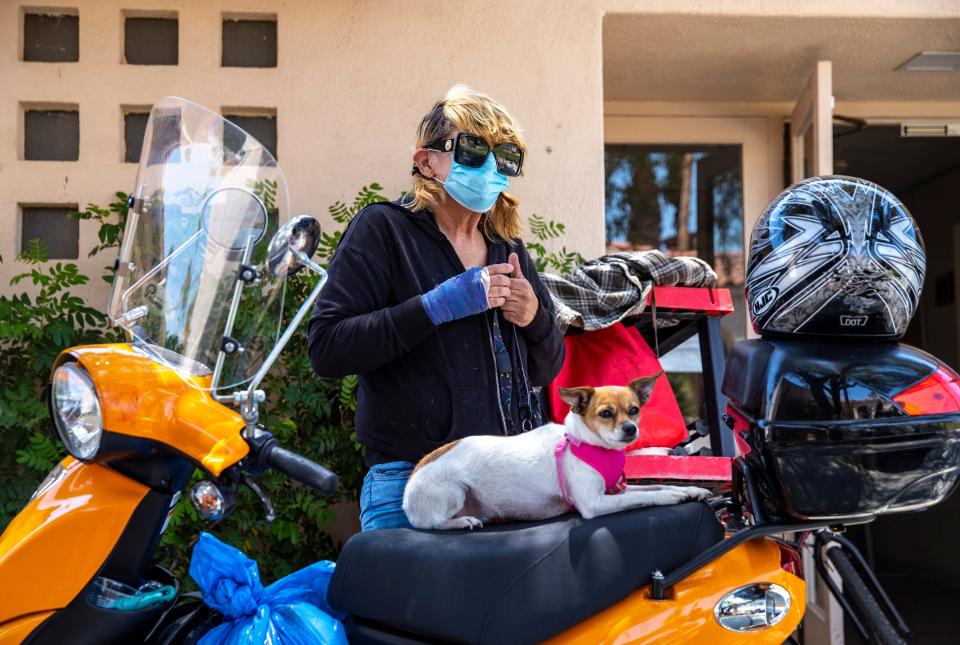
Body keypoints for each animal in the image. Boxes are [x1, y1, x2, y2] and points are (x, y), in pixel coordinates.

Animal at [402, 372, 708, 528]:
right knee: (431, 523)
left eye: (634, 410)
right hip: (453, 491)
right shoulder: (595, 503)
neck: (585, 443)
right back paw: (461, 522)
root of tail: (415, 473)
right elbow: (646, 496)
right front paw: (670, 496)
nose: (631, 428)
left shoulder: (615, 489)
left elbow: (653, 486)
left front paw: (690, 490)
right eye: (606, 414)